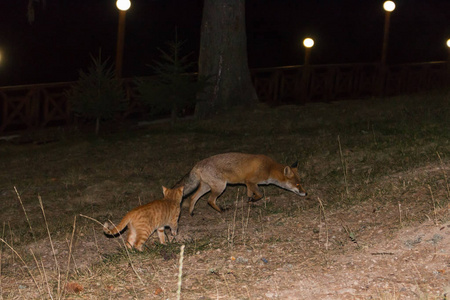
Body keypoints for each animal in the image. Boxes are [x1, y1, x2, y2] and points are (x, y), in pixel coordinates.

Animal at [175, 152, 306, 216]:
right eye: (297, 185)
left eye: (301, 183)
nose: (305, 193)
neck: (269, 168)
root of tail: (197, 165)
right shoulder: (251, 182)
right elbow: (260, 194)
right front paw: (253, 200)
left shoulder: (247, 184)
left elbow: (249, 194)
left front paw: (250, 202)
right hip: (220, 186)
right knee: (210, 200)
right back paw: (222, 211)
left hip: (207, 187)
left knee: (193, 197)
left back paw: (191, 212)